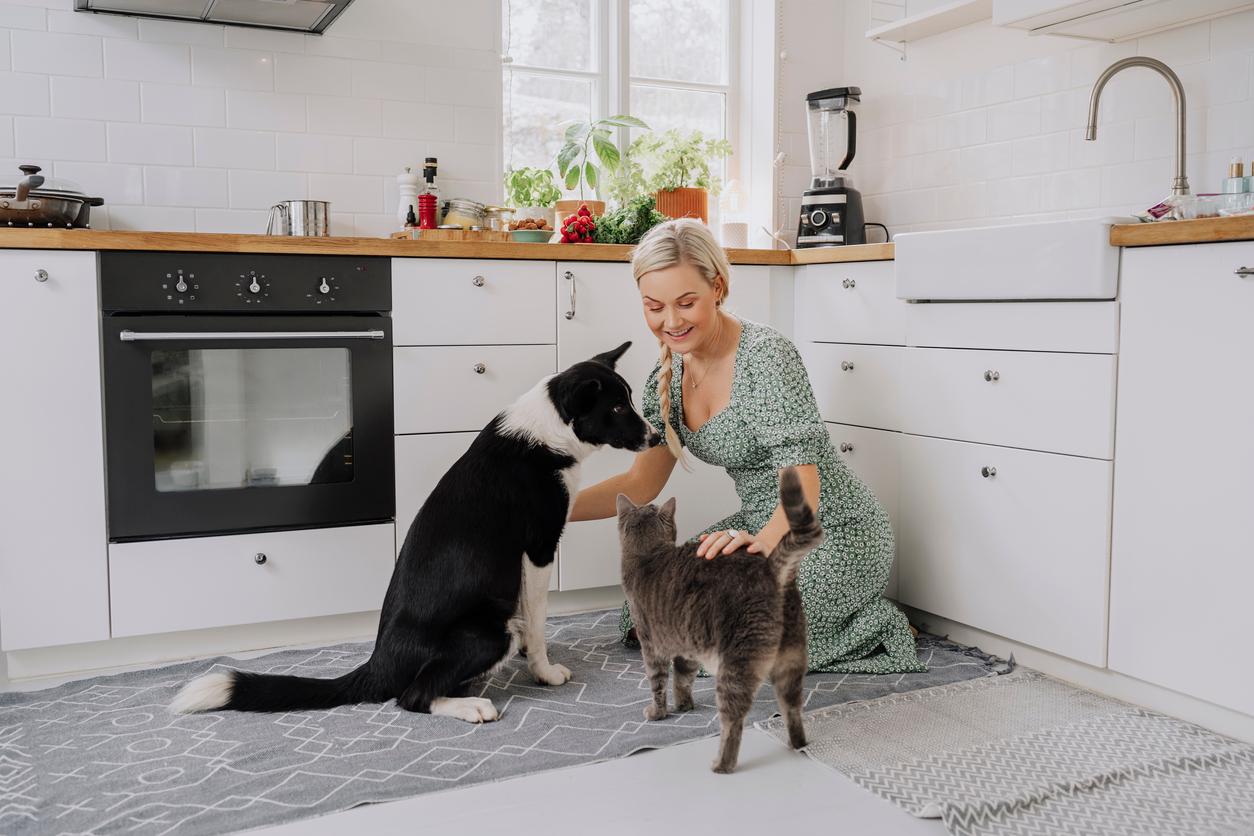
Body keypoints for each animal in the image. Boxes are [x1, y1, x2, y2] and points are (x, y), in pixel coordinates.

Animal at [173, 343, 662, 721]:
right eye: (617, 407)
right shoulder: (538, 549)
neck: (548, 429)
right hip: (489, 631)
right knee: (411, 697)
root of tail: (377, 667)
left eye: (630, 399)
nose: (657, 438)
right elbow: (539, 621)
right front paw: (544, 672)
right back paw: (471, 707)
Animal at [614, 468, 822, 777]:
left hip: (735, 665)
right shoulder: (687, 644)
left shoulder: (651, 644)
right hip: (791, 661)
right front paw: (685, 706)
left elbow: (658, 683)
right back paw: (796, 745)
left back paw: (721, 765)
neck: (649, 556)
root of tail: (769, 569)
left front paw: (658, 713)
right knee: (793, 708)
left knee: (733, 722)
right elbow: (683, 678)